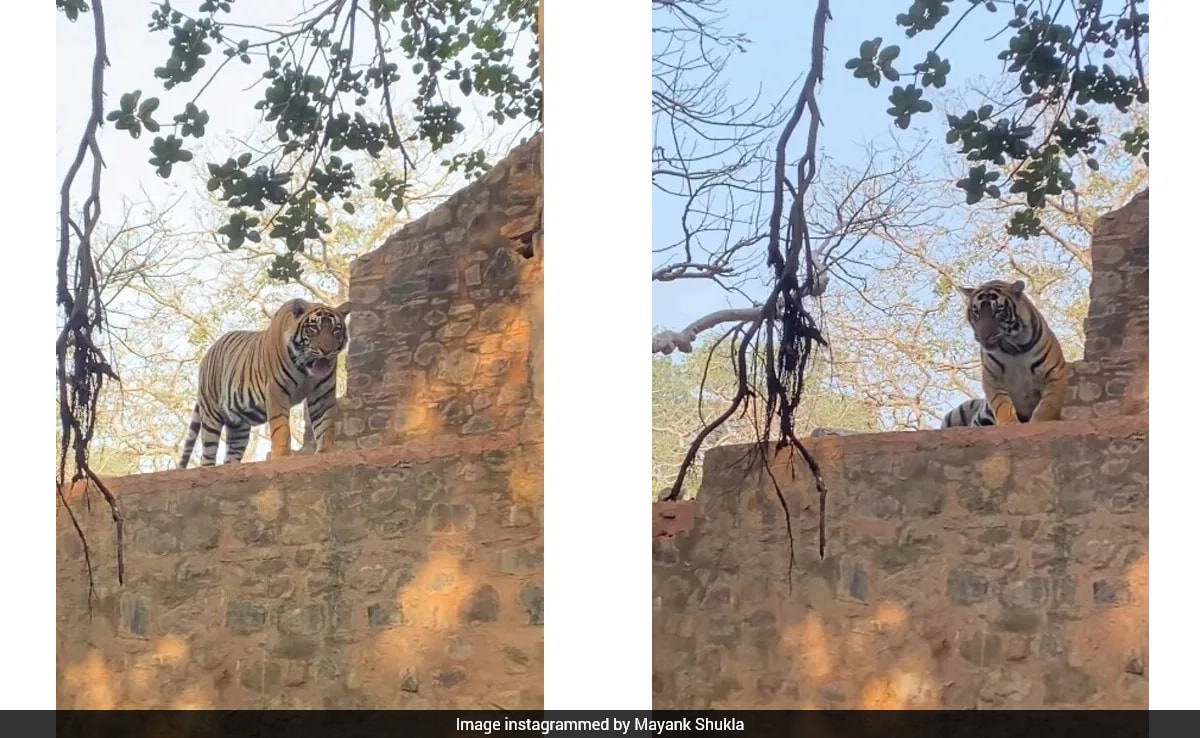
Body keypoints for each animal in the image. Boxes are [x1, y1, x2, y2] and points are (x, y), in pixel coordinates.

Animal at [179, 298, 351, 467]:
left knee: (230, 455)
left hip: (238, 426)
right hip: (211, 413)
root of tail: (208, 352)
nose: (327, 351)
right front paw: (282, 456)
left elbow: (325, 424)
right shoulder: (277, 390)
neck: (306, 368)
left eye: (336, 329)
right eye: (313, 328)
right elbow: (281, 426)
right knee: (207, 454)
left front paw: (326, 453)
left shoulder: (322, 392)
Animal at [956, 279, 1067, 424]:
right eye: (976, 311)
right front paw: (1008, 423)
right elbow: (1002, 405)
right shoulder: (992, 378)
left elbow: (1048, 406)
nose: (983, 336)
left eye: (998, 311)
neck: (1015, 348)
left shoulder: (1055, 372)